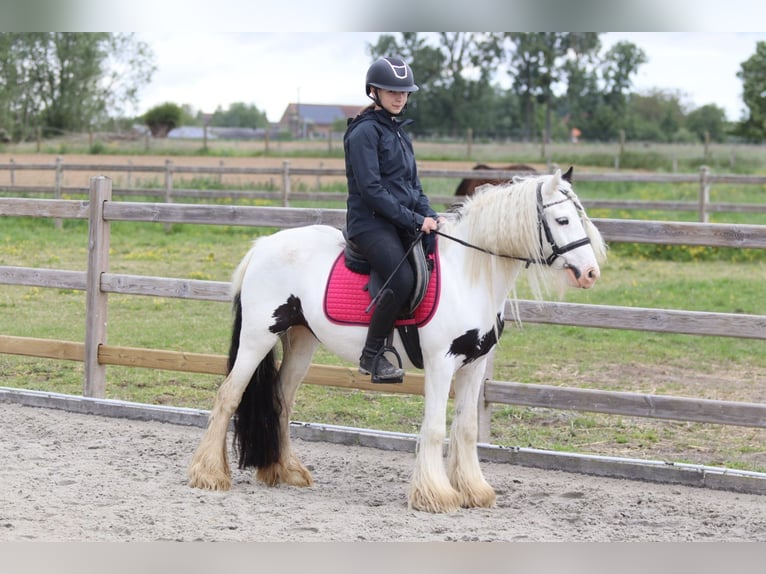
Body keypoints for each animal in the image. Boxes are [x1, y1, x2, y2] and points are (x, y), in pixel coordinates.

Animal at [188, 167, 606, 514]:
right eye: (562, 219)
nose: (590, 273)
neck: (468, 277)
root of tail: (262, 246)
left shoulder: (474, 365)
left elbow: (467, 429)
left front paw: (474, 491)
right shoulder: (442, 362)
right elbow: (435, 428)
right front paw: (435, 496)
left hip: (302, 339)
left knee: (281, 401)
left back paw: (285, 471)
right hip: (258, 335)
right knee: (228, 396)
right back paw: (209, 474)